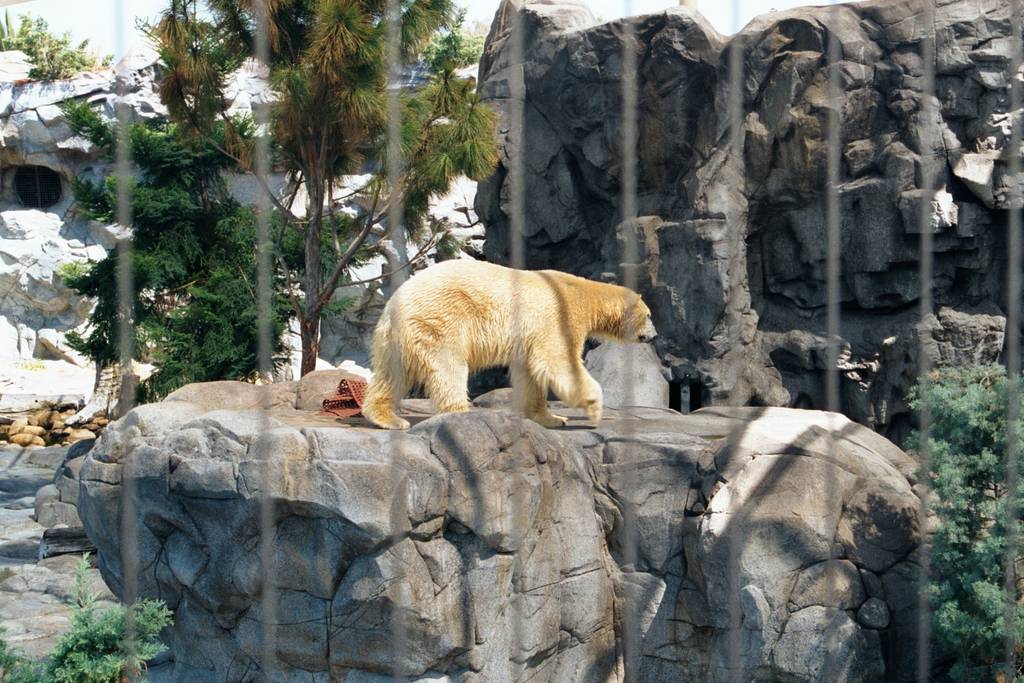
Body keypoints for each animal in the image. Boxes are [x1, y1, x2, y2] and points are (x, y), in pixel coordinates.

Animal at [362, 259, 658, 430]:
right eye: (649, 315)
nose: (653, 336)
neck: (581, 293)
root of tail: (393, 305)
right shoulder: (557, 318)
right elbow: (558, 361)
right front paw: (594, 409)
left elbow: (531, 372)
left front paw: (552, 418)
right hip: (441, 319)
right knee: (448, 367)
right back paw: (462, 411)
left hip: (395, 340)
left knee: (392, 375)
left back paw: (387, 417)